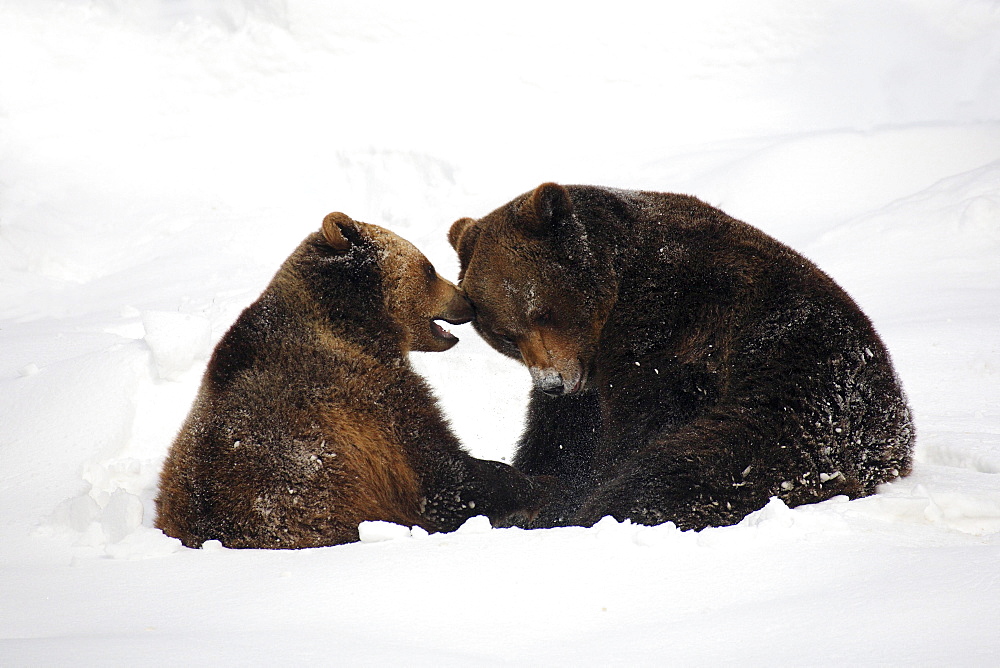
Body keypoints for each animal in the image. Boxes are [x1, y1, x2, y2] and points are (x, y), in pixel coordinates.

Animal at [155, 213, 548, 548]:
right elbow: (440, 475)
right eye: (429, 268)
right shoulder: (368, 402)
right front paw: (537, 486)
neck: (357, 326)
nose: (465, 299)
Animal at [450, 183, 916, 532]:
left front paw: (571, 497)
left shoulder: (674, 324)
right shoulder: (585, 377)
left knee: (690, 466)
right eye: (505, 334)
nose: (551, 383)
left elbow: (646, 417)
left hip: (798, 399)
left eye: (543, 311)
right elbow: (563, 438)